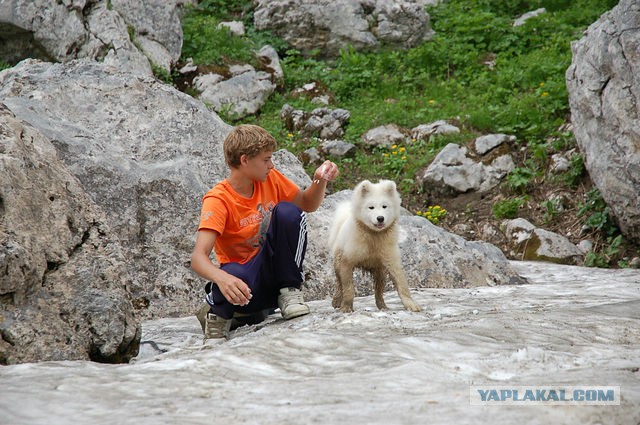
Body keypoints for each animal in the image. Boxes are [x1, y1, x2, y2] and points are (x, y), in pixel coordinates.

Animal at [330, 179, 420, 312]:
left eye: (384, 206)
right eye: (371, 207)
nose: (380, 218)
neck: (374, 236)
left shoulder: (389, 255)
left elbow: (401, 282)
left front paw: (412, 305)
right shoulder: (348, 258)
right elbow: (348, 286)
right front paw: (346, 307)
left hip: (379, 270)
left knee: (379, 290)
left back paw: (383, 306)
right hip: (338, 257)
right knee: (338, 280)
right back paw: (336, 301)